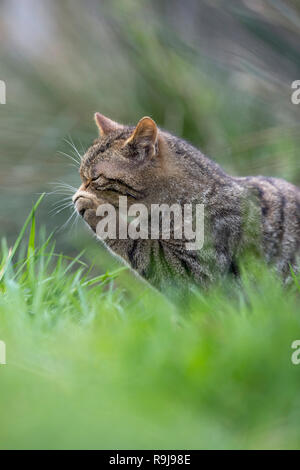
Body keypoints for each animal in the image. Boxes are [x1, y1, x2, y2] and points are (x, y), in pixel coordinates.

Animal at [72, 114, 300, 296]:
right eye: (82, 176)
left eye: (95, 178)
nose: (75, 194)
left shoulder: (197, 273)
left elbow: (137, 243)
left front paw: (93, 207)